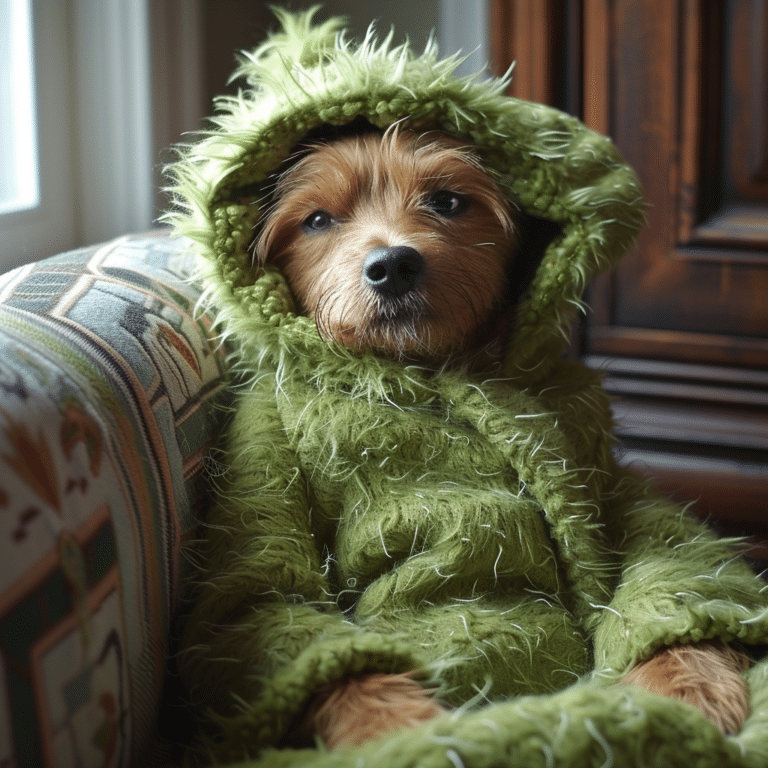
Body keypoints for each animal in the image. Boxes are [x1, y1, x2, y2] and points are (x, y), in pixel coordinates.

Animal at [248, 127, 752, 752]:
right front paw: (403, 735)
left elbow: (668, 555)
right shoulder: (263, 458)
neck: (432, 373)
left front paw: (688, 683)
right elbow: (286, 606)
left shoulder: (604, 468)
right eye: (317, 219)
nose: (393, 264)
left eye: (447, 201)